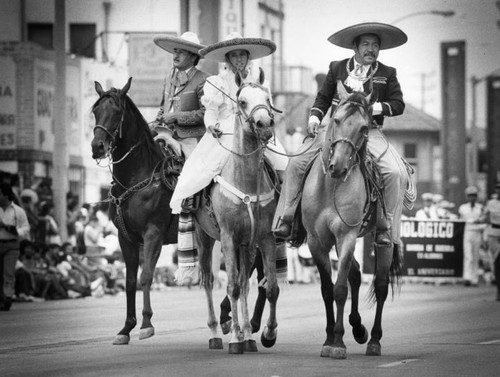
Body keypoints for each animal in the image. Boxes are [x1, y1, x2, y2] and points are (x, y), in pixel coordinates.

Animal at [90, 78, 180, 344]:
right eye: (95, 111)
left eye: (117, 112)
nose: (97, 146)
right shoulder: (126, 238)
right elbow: (130, 282)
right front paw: (126, 328)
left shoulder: (153, 234)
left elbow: (146, 276)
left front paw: (147, 323)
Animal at [194, 75, 282, 352]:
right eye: (242, 101)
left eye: (267, 99)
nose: (264, 124)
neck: (246, 181)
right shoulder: (229, 237)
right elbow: (231, 287)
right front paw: (234, 337)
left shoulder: (264, 238)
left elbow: (269, 288)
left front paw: (266, 333)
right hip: (205, 238)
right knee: (209, 280)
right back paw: (216, 332)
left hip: (247, 246)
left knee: (244, 284)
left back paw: (247, 334)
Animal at [298, 80, 400, 358]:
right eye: (337, 119)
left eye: (364, 127)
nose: (338, 167)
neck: (330, 187)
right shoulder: (317, 241)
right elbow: (327, 289)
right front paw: (329, 337)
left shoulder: (347, 235)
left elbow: (340, 289)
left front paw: (338, 342)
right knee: (355, 273)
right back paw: (358, 327)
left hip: (382, 239)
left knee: (381, 286)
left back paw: (373, 339)